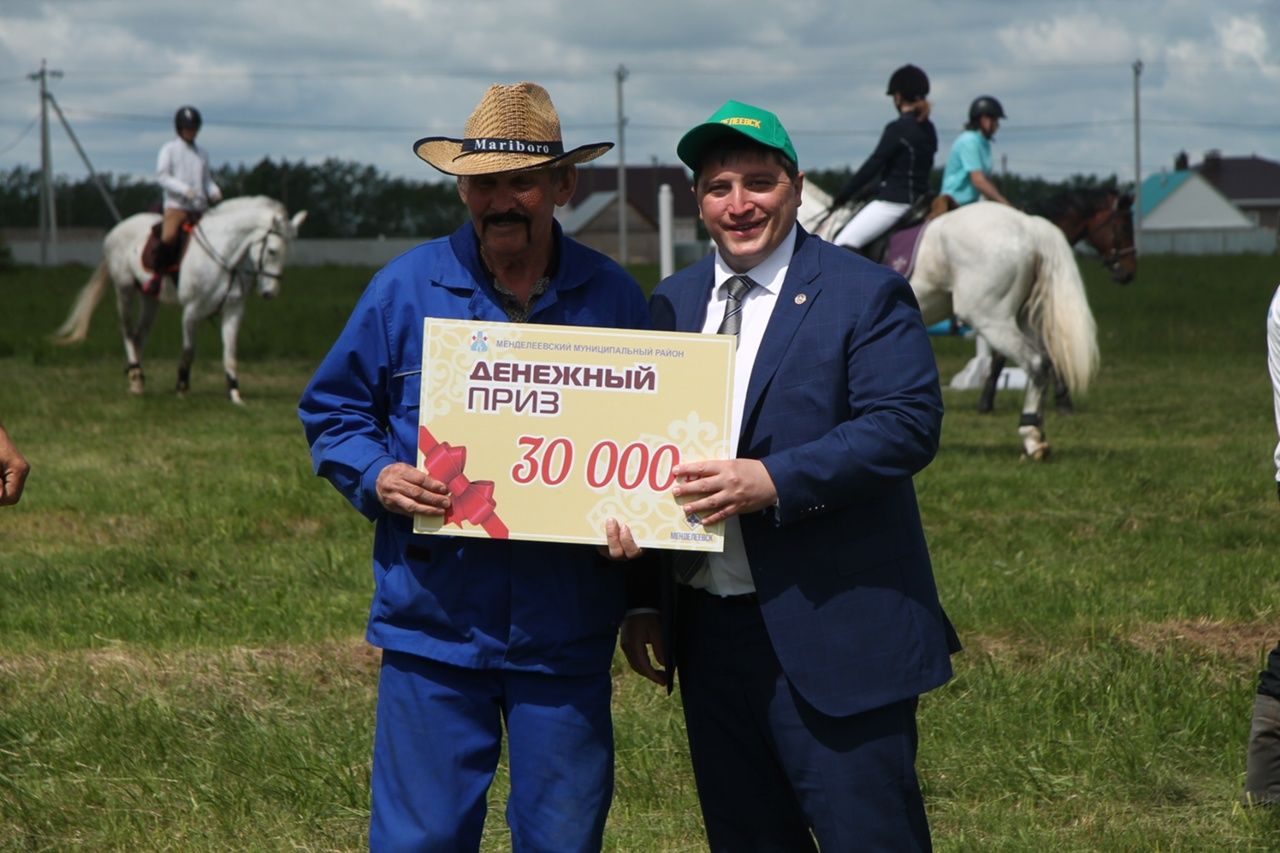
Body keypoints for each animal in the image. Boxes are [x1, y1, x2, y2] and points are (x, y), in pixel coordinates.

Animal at [53, 195, 308, 402]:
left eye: (287, 253)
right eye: (273, 251)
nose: (270, 293)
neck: (225, 256)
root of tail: (115, 230)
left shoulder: (233, 310)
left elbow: (230, 352)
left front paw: (235, 393)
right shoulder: (192, 311)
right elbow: (189, 350)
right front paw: (182, 388)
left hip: (150, 299)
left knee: (139, 334)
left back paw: (137, 379)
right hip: (124, 289)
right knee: (127, 330)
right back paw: (135, 376)